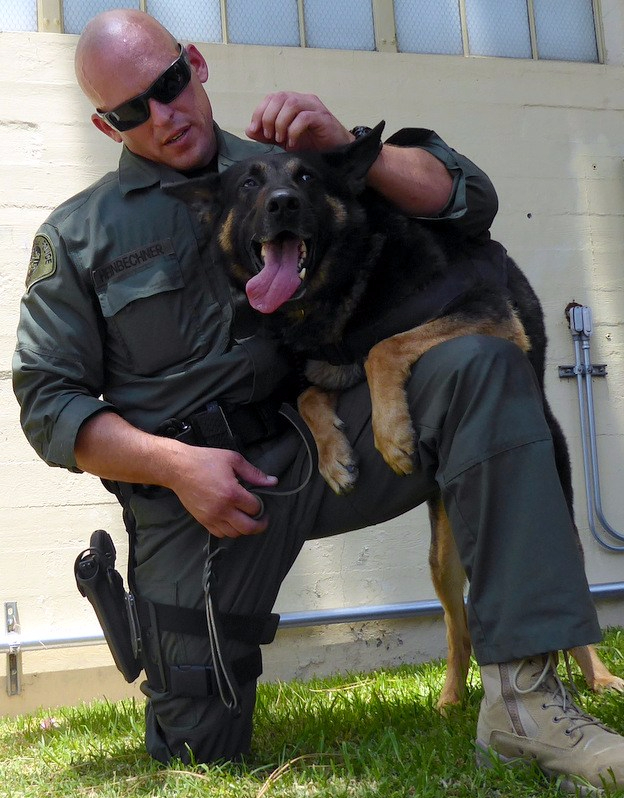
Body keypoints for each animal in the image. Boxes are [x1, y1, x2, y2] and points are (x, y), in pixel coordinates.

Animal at [167, 122, 624, 708]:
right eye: (248, 182)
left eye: (308, 177)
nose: (282, 202)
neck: (342, 285)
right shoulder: (331, 365)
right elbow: (311, 396)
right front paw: (335, 457)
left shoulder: (485, 312)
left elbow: (384, 346)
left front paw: (392, 437)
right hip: (441, 560)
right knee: (459, 623)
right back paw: (450, 699)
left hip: (558, 510)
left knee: (567, 594)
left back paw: (598, 677)